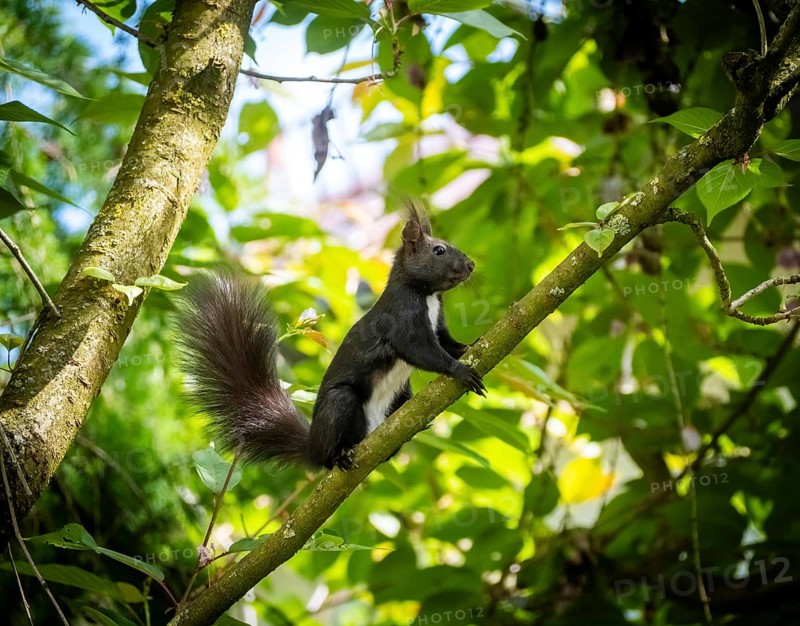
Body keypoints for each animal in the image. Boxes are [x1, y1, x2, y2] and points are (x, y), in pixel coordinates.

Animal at [175, 205, 485, 471]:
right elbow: (421, 351)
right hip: (340, 405)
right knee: (331, 445)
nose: (471, 265)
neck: (426, 294)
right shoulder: (401, 318)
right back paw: (339, 457)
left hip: (400, 398)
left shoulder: (438, 324)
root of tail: (312, 446)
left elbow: (447, 343)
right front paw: (461, 370)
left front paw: (471, 347)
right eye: (439, 250)